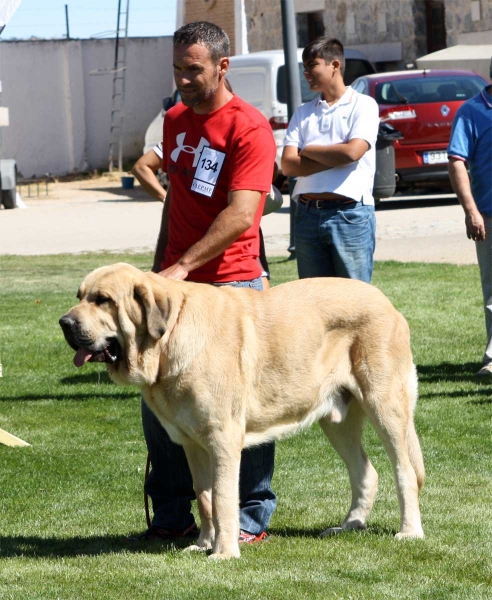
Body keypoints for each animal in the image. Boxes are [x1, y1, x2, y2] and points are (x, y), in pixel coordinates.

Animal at [59, 262, 424, 556]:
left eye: (102, 299)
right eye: (80, 295)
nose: (64, 322)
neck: (167, 340)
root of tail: (388, 304)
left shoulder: (223, 438)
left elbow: (222, 498)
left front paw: (223, 553)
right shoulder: (193, 444)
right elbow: (204, 497)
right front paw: (203, 544)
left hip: (385, 406)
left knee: (404, 470)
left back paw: (409, 531)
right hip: (336, 420)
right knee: (365, 472)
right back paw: (349, 525)